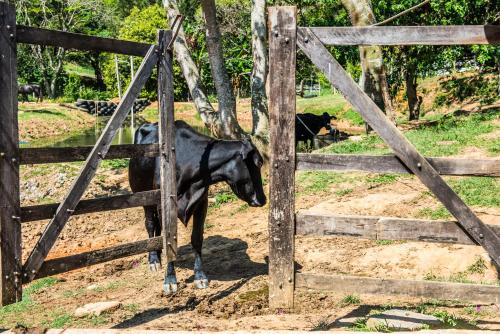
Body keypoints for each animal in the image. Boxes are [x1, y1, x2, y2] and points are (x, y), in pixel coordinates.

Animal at [131, 121, 268, 294]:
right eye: (259, 162)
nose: (262, 199)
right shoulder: (163, 205)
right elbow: (169, 242)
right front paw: (170, 279)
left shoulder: (202, 202)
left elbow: (196, 238)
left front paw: (200, 276)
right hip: (143, 196)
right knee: (150, 224)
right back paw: (154, 260)